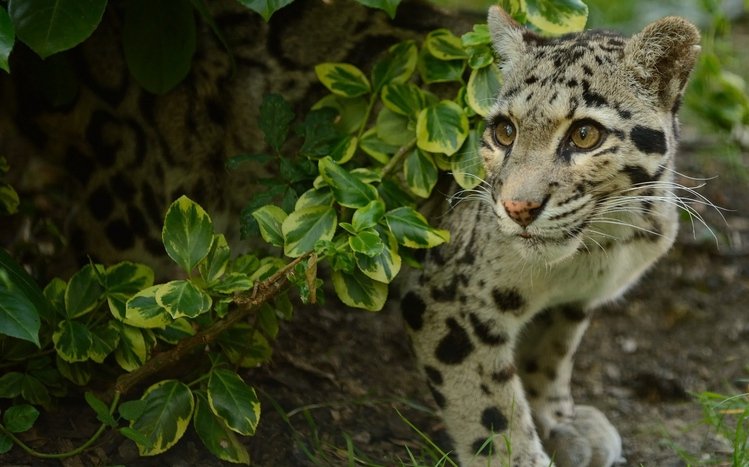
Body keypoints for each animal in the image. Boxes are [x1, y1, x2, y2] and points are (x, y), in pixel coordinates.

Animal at [402, 6, 700, 467]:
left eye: (585, 134)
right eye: (505, 131)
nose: (517, 207)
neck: (598, 246)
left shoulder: (570, 304)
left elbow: (550, 353)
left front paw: (560, 422)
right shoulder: (445, 298)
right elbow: (488, 406)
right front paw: (519, 454)